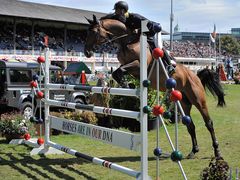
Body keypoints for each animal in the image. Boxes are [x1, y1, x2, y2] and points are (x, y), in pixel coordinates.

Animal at [84, 14, 225, 158]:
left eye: (94, 32)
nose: (87, 52)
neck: (126, 41)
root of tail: (196, 76)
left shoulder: (139, 65)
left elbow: (119, 71)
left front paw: (126, 85)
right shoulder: (130, 67)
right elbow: (117, 72)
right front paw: (126, 84)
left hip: (198, 100)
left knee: (209, 123)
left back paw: (217, 151)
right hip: (184, 103)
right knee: (190, 124)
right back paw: (193, 151)